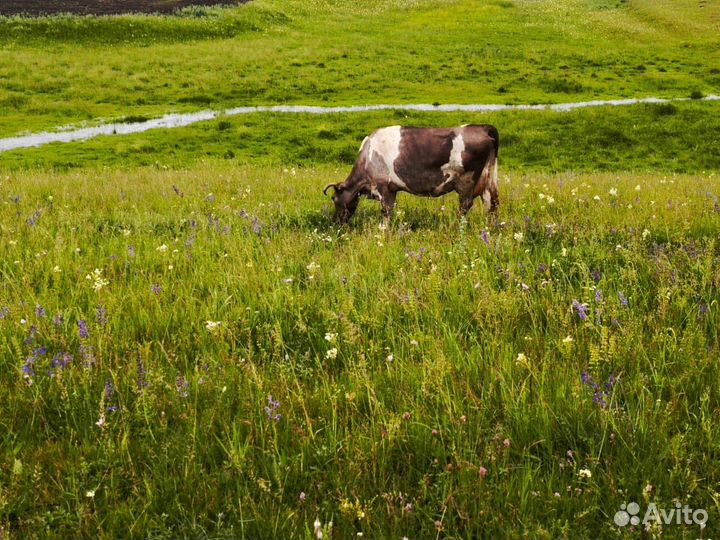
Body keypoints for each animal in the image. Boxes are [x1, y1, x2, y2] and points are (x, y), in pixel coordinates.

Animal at [324, 123, 498, 223]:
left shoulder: (382, 185)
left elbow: (385, 211)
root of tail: (482, 127)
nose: (335, 222)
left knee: (465, 205)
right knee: (492, 202)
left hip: (467, 181)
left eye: (334, 198)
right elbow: (390, 210)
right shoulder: (392, 189)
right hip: (489, 179)